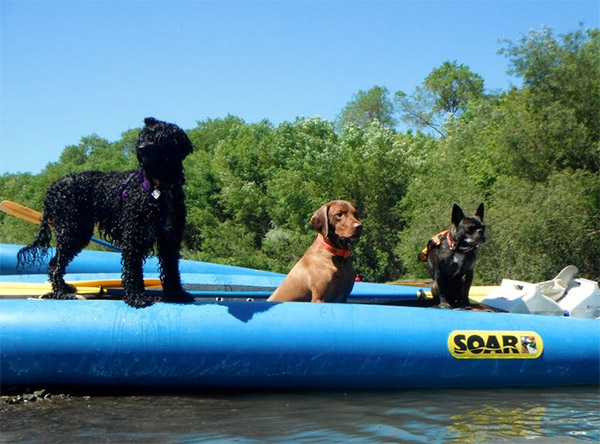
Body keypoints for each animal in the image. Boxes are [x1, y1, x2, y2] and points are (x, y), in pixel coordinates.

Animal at [18, 116, 192, 306]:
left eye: (159, 137)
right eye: (142, 137)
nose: (141, 148)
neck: (159, 186)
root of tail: (52, 188)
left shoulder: (170, 236)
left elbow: (171, 268)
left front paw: (176, 294)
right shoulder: (133, 235)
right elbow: (133, 269)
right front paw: (136, 297)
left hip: (78, 231)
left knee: (53, 263)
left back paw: (64, 287)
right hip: (71, 230)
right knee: (56, 264)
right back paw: (61, 292)